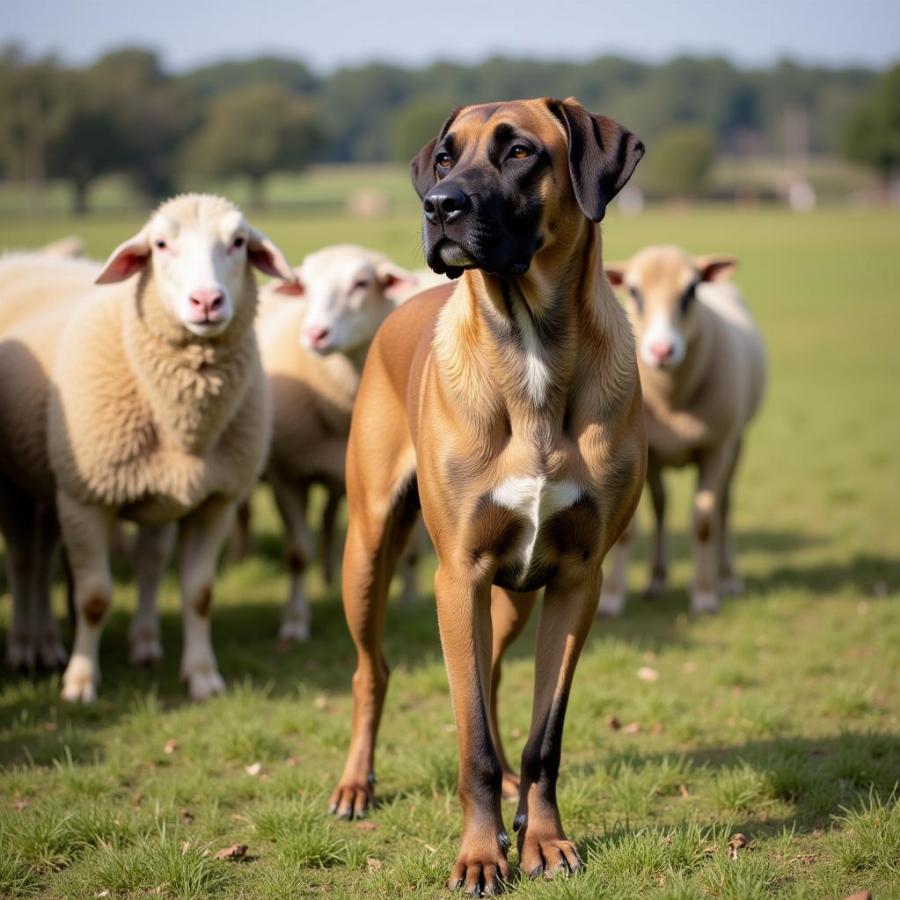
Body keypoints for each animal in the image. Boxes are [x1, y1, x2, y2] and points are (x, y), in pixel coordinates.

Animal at [0, 195, 294, 696]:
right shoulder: (86, 498)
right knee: (25, 562)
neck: (185, 424)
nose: (207, 301)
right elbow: (93, 597)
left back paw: (131, 643)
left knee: (139, 561)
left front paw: (202, 677)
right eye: (160, 245)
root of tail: (21, 257)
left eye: (238, 242)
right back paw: (27, 648)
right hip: (21, 485)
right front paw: (80, 681)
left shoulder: (215, 500)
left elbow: (199, 594)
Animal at [330, 100, 648, 892]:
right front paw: (479, 855)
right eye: (445, 157)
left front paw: (545, 840)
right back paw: (355, 786)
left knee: (496, 677)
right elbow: (468, 737)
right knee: (371, 671)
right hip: (368, 552)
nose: (438, 205)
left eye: (520, 153)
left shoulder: (577, 580)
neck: (530, 346)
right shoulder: (458, 577)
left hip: (511, 597)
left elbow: (544, 738)